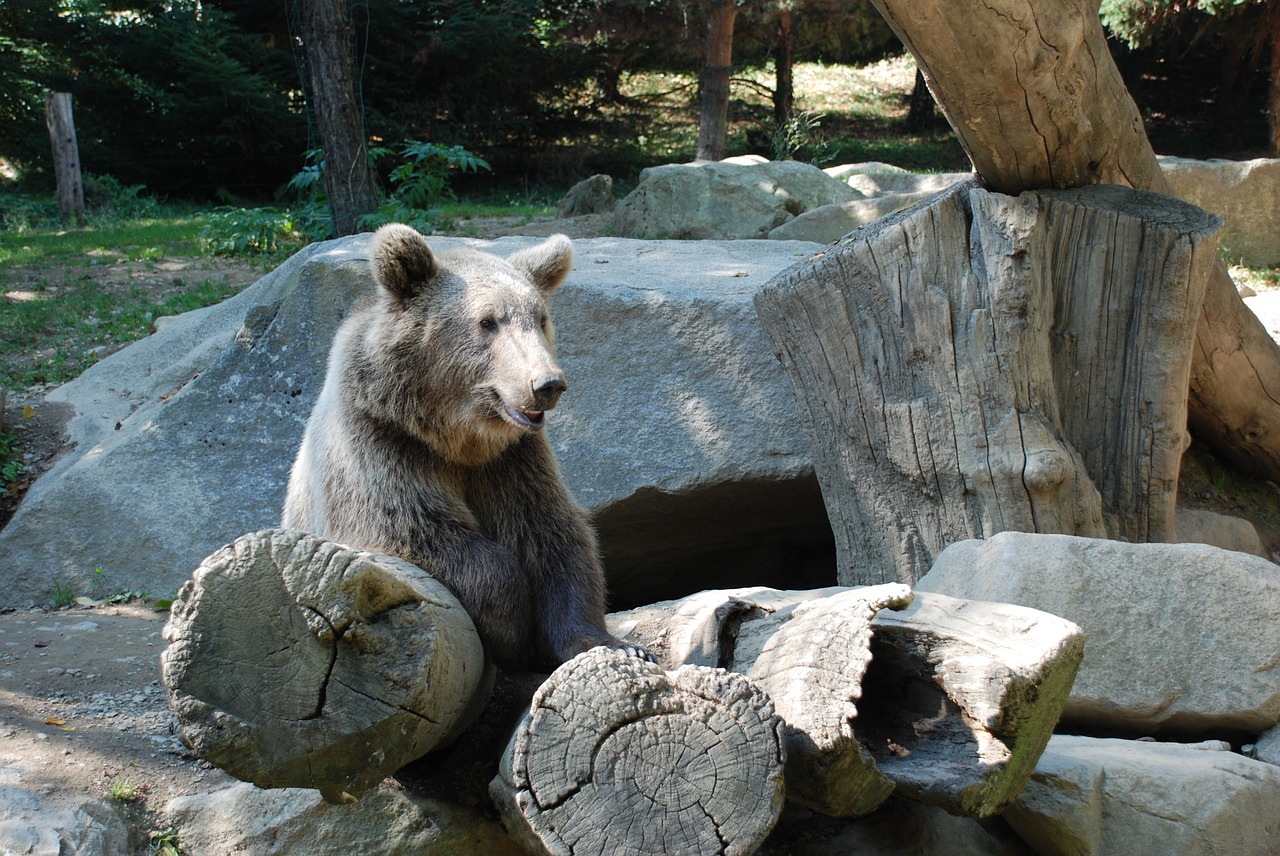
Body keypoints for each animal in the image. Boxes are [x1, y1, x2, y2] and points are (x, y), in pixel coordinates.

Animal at [284, 223, 645, 670]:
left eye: (540, 319)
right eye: (488, 321)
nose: (546, 384)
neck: (457, 438)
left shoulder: (513, 461)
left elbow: (554, 536)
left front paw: (617, 644)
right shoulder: (379, 444)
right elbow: (412, 529)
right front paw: (513, 625)